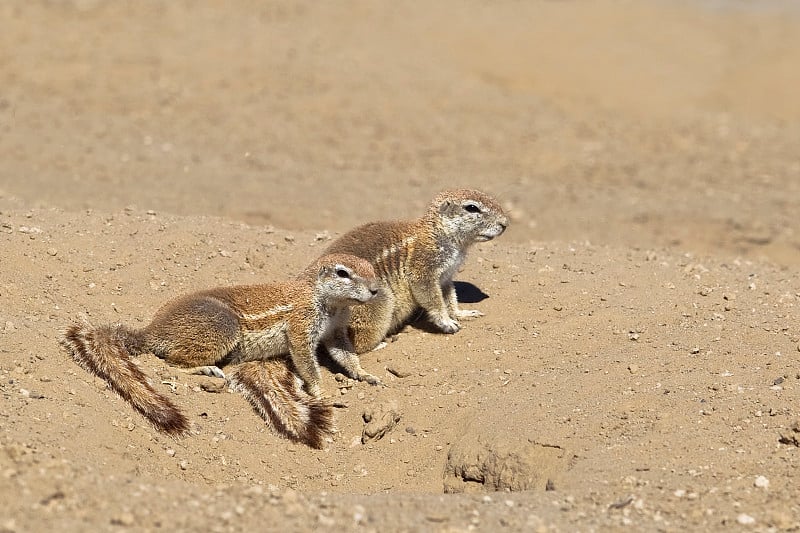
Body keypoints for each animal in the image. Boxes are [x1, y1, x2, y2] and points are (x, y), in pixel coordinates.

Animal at [59, 251, 378, 446]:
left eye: (373, 269)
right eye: (343, 273)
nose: (376, 289)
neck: (328, 302)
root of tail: (152, 331)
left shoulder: (336, 330)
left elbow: (345, 354)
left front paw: (364, 375)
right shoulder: (302, 324)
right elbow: (305, 360)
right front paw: (321, 392)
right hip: (224, 328)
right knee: (171, 362)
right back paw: (207, 369)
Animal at [318, 187, 506, 354]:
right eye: (472, 208)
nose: (504, 223)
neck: (437, 233)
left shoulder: (445, 277)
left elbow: (450, 297)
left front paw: (463, 313)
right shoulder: (423, 266)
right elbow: (432, 297)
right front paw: (446, 322)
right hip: (379, 302)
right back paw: (379, 345)